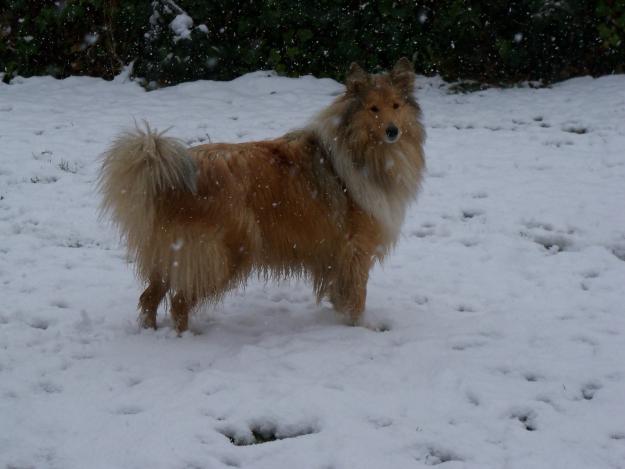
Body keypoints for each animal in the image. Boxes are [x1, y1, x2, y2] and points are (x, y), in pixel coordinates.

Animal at [98, 58, 424, 332]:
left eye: (396, 105)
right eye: (373, 109)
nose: (393, 131)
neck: (365, 153)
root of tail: (170, 176)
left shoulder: (336, 256)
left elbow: (341, 294)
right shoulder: (355, 251)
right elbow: (357, 296)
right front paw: (361, 327)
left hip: (171, 255)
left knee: (150, 297)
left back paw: (150, 331)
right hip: (225, 254)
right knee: (179, 302)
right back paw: (186, 338)